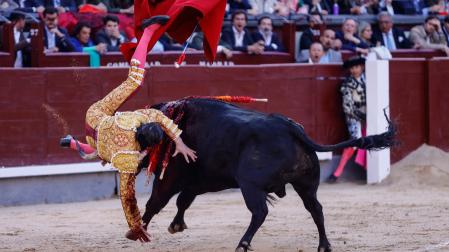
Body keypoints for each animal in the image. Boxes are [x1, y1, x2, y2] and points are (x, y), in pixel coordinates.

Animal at [138, 98, 394, 252]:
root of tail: (290, 127)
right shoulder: (201, 181)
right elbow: (183, 200)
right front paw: (176, 225)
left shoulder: (171, 177)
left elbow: (156, 202)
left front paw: (138, 230)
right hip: (306, 185)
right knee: (316, 210)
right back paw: (324, 245)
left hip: (250, 185)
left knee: (260, 212)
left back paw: (242, 244)